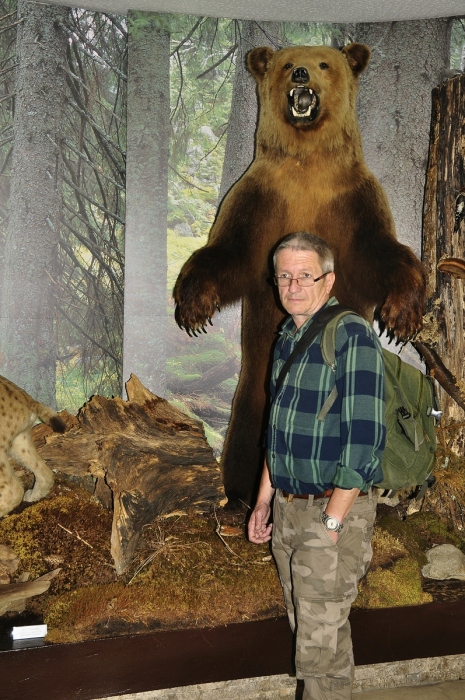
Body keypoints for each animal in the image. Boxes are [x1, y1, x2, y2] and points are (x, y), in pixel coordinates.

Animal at [173, 43, 424, 506]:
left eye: (325, 62)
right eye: (288, 63)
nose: (302, 74)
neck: (308, 167)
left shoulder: (358, 202)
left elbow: (384, 255)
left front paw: (402, 317)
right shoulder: (257, 199)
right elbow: (228, 253)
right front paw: (194, 307)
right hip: (257, 382)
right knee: (250, 421)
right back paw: (239, 490)